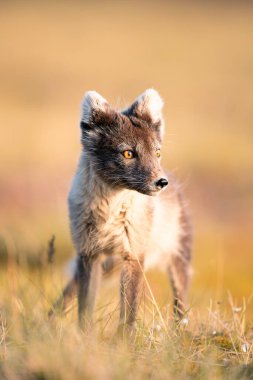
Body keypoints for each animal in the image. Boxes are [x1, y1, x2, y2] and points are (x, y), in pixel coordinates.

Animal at [50, 88, 191, 330]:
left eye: (157, 153)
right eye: (128, 153)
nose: (162, 182)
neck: (110, 210)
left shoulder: (133, 255)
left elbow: (129, 311)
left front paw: (123, 339)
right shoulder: (88, 253)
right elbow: (85, 307)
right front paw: (84, 336)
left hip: (178, 259)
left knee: (180, 304)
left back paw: (179, 332)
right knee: (70, 291)